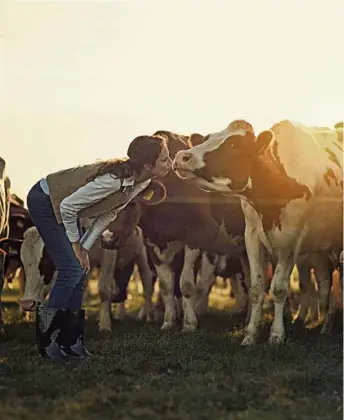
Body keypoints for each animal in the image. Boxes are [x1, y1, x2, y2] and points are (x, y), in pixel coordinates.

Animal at [173, 118, 342, 344]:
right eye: (208, 137)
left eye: (235, 145)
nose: (181, 157)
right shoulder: (252, 235)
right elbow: (256, 288)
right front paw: (250, 335)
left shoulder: (290, 241)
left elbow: (278, 288)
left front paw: (276, 335)